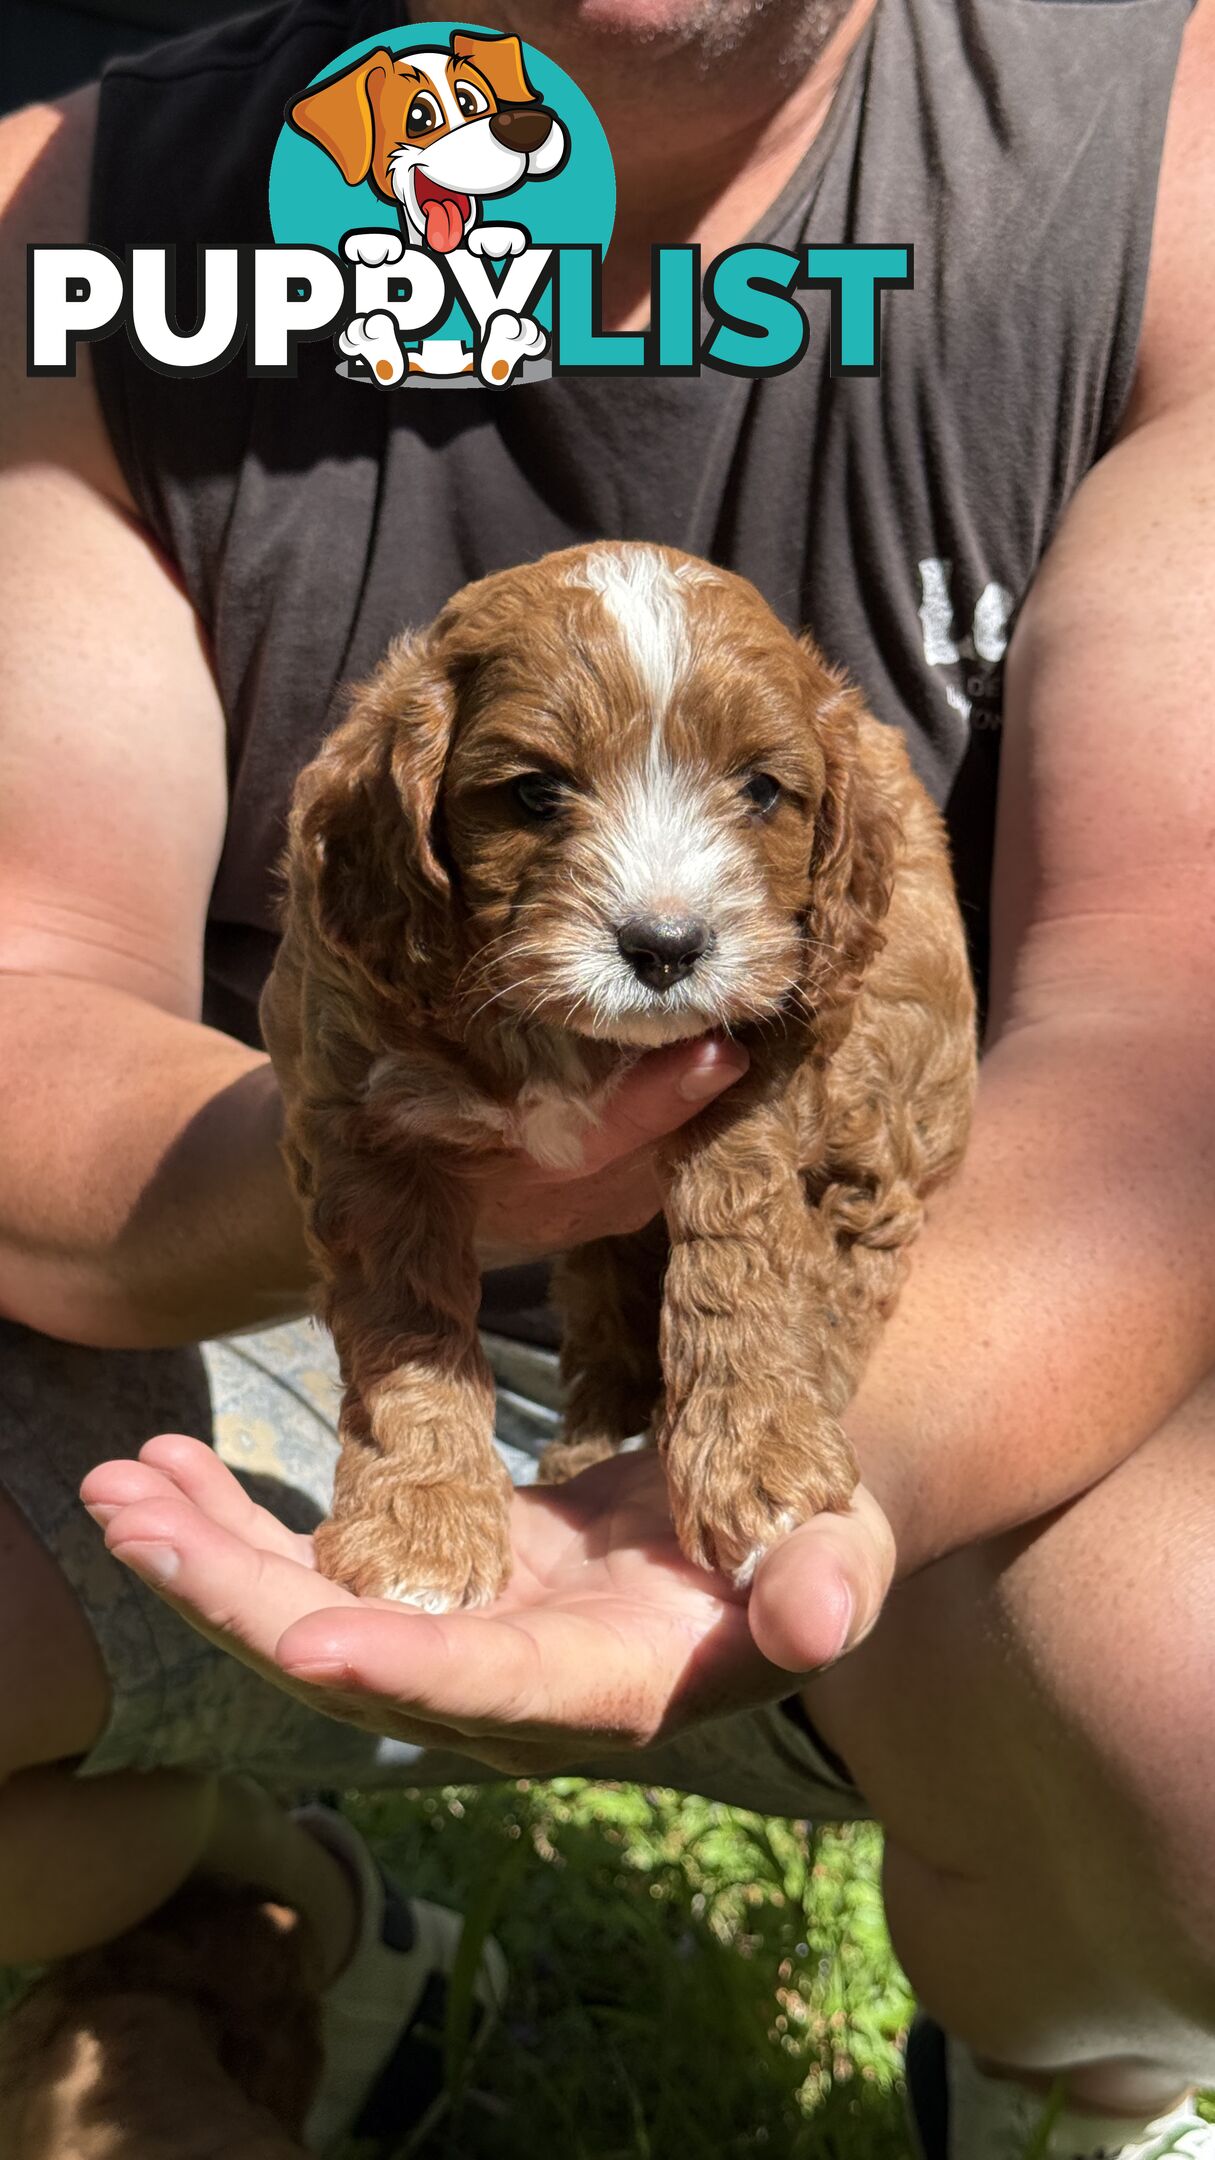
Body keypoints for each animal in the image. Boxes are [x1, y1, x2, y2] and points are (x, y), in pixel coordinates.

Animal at [264, 548, 972, 1615]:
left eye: (761, 791)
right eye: (533, 794)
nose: (666, 946)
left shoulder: (761, 1066)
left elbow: (740, 1251)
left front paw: (757, 1461)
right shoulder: (361, 1116)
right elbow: (405, 1324)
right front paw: (422, 1523)